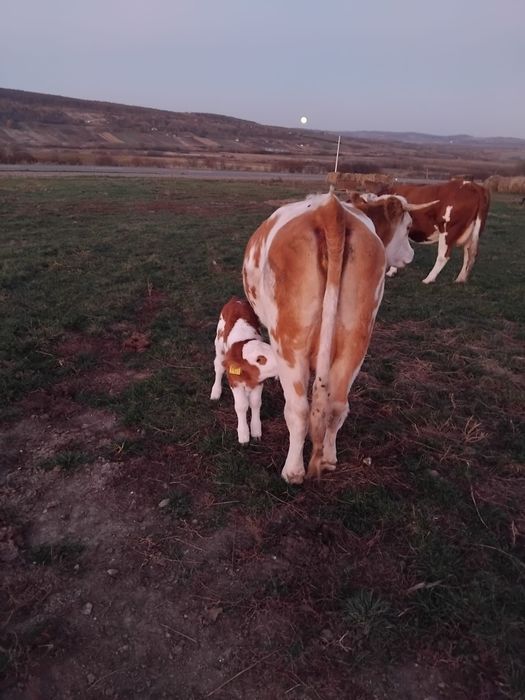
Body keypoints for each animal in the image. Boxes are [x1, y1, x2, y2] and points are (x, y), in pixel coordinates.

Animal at [210, 297, 278, 444]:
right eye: (259, 359)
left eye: (271, 349)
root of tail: (236, 300)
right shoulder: (234, 381)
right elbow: (241, 406)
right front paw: (243, 435)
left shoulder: (259, 381)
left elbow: (255, 403)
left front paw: (256, 430)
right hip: (219, 344)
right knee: (218, 367)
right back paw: (215, 392)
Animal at [242, 192, 420, 483]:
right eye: (407, 228)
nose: (411, 255)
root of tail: (331, 211)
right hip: (356, 340)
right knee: (336, 406)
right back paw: (327, 460)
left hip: (290, 342)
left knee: (299, 410)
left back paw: (293, 472)